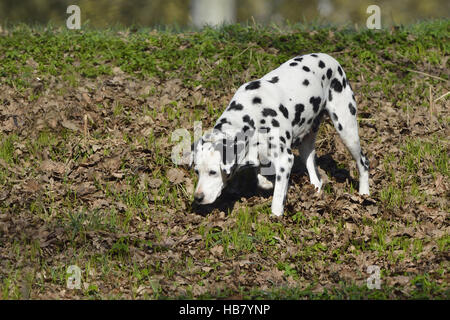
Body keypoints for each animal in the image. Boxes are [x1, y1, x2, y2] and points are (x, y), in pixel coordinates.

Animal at [189, 53, 370, 218]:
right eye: (197, 171)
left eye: (213, 172)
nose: (198, 198)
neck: (251, 115)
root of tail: (330, 58)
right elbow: (261, 177)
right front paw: (266, 182)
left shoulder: (285, 160)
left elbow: (277, 198)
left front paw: (275, 216)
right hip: (306, 143)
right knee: (314, 173)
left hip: (347, 131)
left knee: (363, 162)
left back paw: (364, 193)